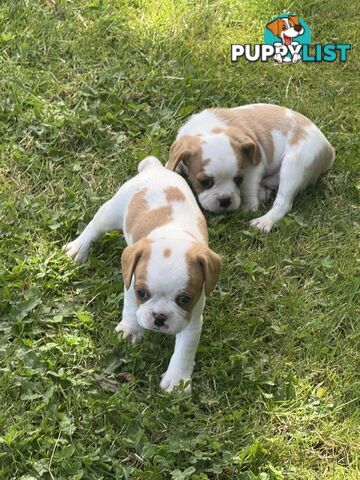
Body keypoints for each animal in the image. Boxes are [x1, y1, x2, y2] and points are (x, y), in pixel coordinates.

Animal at [63, 156, 221, 392]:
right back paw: (78, 248)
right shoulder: (131, 283)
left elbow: (184, 351)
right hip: (112, 211)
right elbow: (130, 308)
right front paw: (130, 330)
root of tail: (155, 168)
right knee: (94, 227)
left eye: (184, 299)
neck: (173, 235)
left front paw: (177, 380)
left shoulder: (192, 318)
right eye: (142, 294)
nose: (159, 317)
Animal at [168, 104, 334, 233]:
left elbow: (248, 187)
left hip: (295, 165)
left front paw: (249, 208)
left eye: (238, 179)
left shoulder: (254, 166)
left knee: (283, 202)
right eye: (205, 182)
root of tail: (329, 149)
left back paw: (264, 221)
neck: (209, 130)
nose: (225, 200)